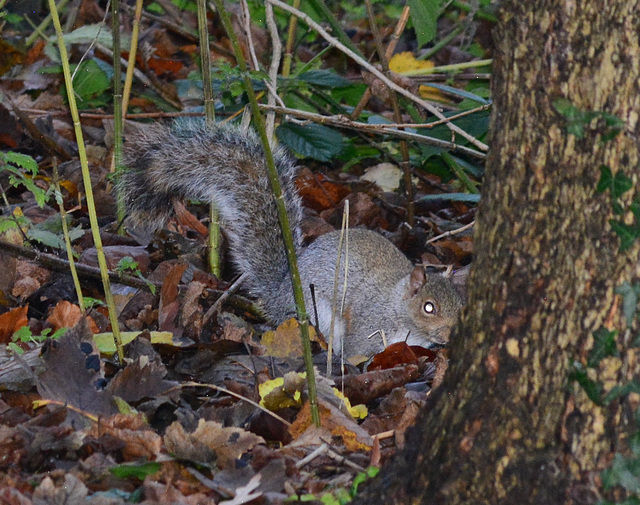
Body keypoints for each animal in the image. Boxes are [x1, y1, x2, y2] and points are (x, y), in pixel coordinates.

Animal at [120, 121, 460, 358]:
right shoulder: (369, 326)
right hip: (314, 312)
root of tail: (282, 291)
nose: (450, 336)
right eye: (428, 307)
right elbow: (356, 353)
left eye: (460, 304)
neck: (397, 304)